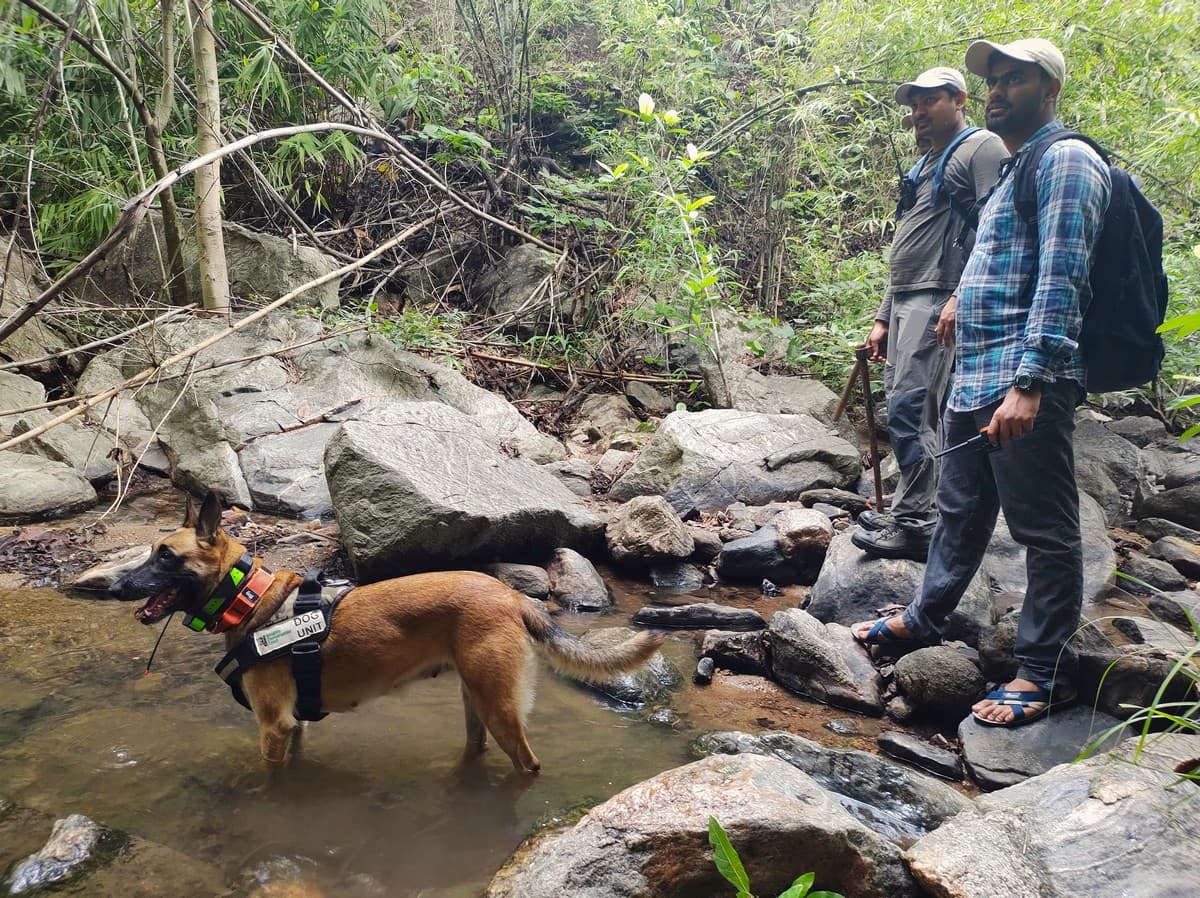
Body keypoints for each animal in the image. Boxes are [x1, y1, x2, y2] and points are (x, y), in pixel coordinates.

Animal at [110, 492, 667, 773]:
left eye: (166, 556)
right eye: (152, 551)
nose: (117, 585)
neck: (248, 596)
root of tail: (511, 596)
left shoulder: (273, 727)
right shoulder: (294, 728)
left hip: (500, 708)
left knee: (527, 763)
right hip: (476, 701)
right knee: (477, 749)